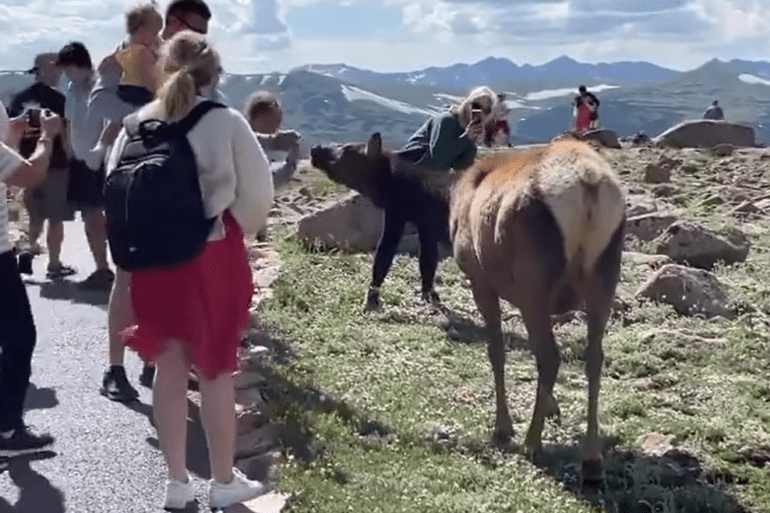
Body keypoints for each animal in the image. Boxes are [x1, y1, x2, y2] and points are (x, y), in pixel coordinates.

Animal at [310, 133, 626, 483]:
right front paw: (552, 409)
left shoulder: (480, 278)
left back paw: (532, 442)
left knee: (550, 356)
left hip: (534, 280)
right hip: (605, 274)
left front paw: (503, 428)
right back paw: (592, 458)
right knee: (593, 358)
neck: (447, 201)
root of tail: (588, 187)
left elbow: (496, 351)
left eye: (349, 150)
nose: (316, 150)